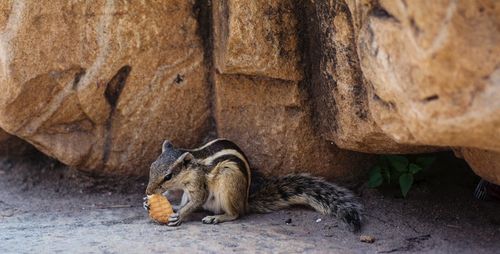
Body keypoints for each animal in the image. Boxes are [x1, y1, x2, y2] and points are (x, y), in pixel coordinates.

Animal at [146, 138, 364, 231]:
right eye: (152, 166)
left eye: (168, 176)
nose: (148, 190)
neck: (193, 167)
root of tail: (245, 202)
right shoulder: (186, 190)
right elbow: (186, 200)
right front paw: (169, 206)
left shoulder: (198, 185)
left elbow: (197, 201)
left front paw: (179, 215)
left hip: (228, 182)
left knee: (236, 214)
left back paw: (218, 217)